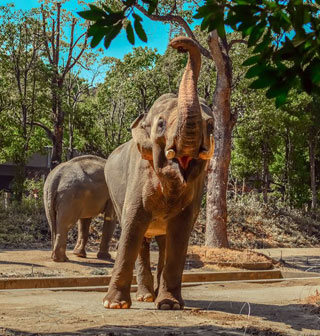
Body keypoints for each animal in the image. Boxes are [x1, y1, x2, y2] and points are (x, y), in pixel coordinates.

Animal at [102, 36, 215, 310]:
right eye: (161, 124)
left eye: (211, 125)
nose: (177, 44)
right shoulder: (139, 178)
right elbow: (132, 227)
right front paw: (114, 305)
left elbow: (180, 233)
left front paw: (169, 305)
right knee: (141, 239)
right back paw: (145, 297)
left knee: (164, 241)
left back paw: (157, 297)